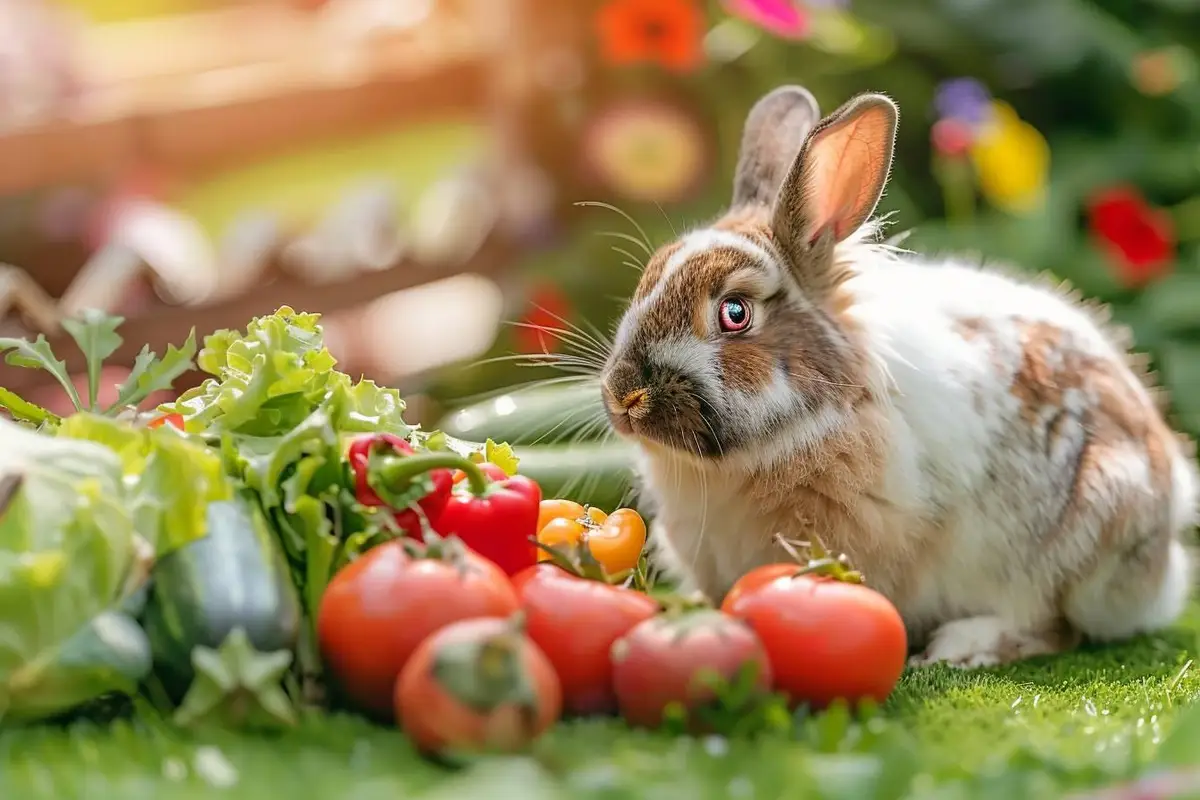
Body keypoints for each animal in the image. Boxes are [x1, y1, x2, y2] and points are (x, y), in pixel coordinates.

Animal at [598, 85, 1199, 669]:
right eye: (647, 278)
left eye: (735, 313)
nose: (625, 397)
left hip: (1081, 540)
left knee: (1056, 626)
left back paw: (962, 647)